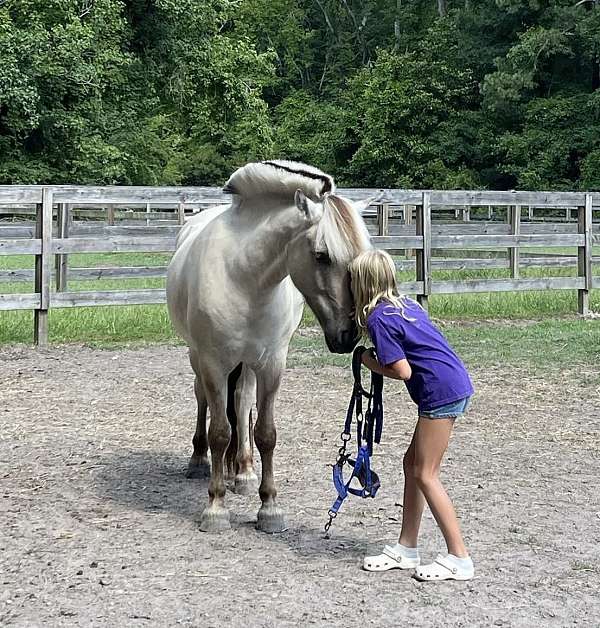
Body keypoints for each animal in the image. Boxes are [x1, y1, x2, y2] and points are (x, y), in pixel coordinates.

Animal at [166, 159, 376, 532]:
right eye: (321, 255)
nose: (348, 335)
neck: (245, 277)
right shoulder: (213, 362)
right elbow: (219, 431)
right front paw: (215, 507)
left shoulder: (272, 364)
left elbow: (265, 432)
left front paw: (269, 507)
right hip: (198, 357)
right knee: (203, 400)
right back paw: (199, 460)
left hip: (248, 364)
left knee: (241, 402)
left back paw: (244, 472)